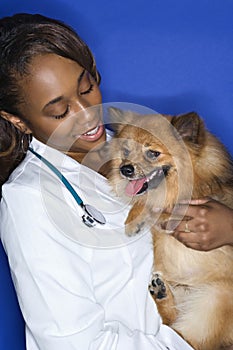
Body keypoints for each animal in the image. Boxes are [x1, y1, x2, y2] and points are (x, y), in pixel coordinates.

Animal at [105, 106, 233, 350]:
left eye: (153, 153)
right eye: (126, 150)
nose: (125, 169)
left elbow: (155, 203)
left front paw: (134, 219)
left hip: (215, 300)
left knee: (189, 340)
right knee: (173, 324)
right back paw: (161, 293)